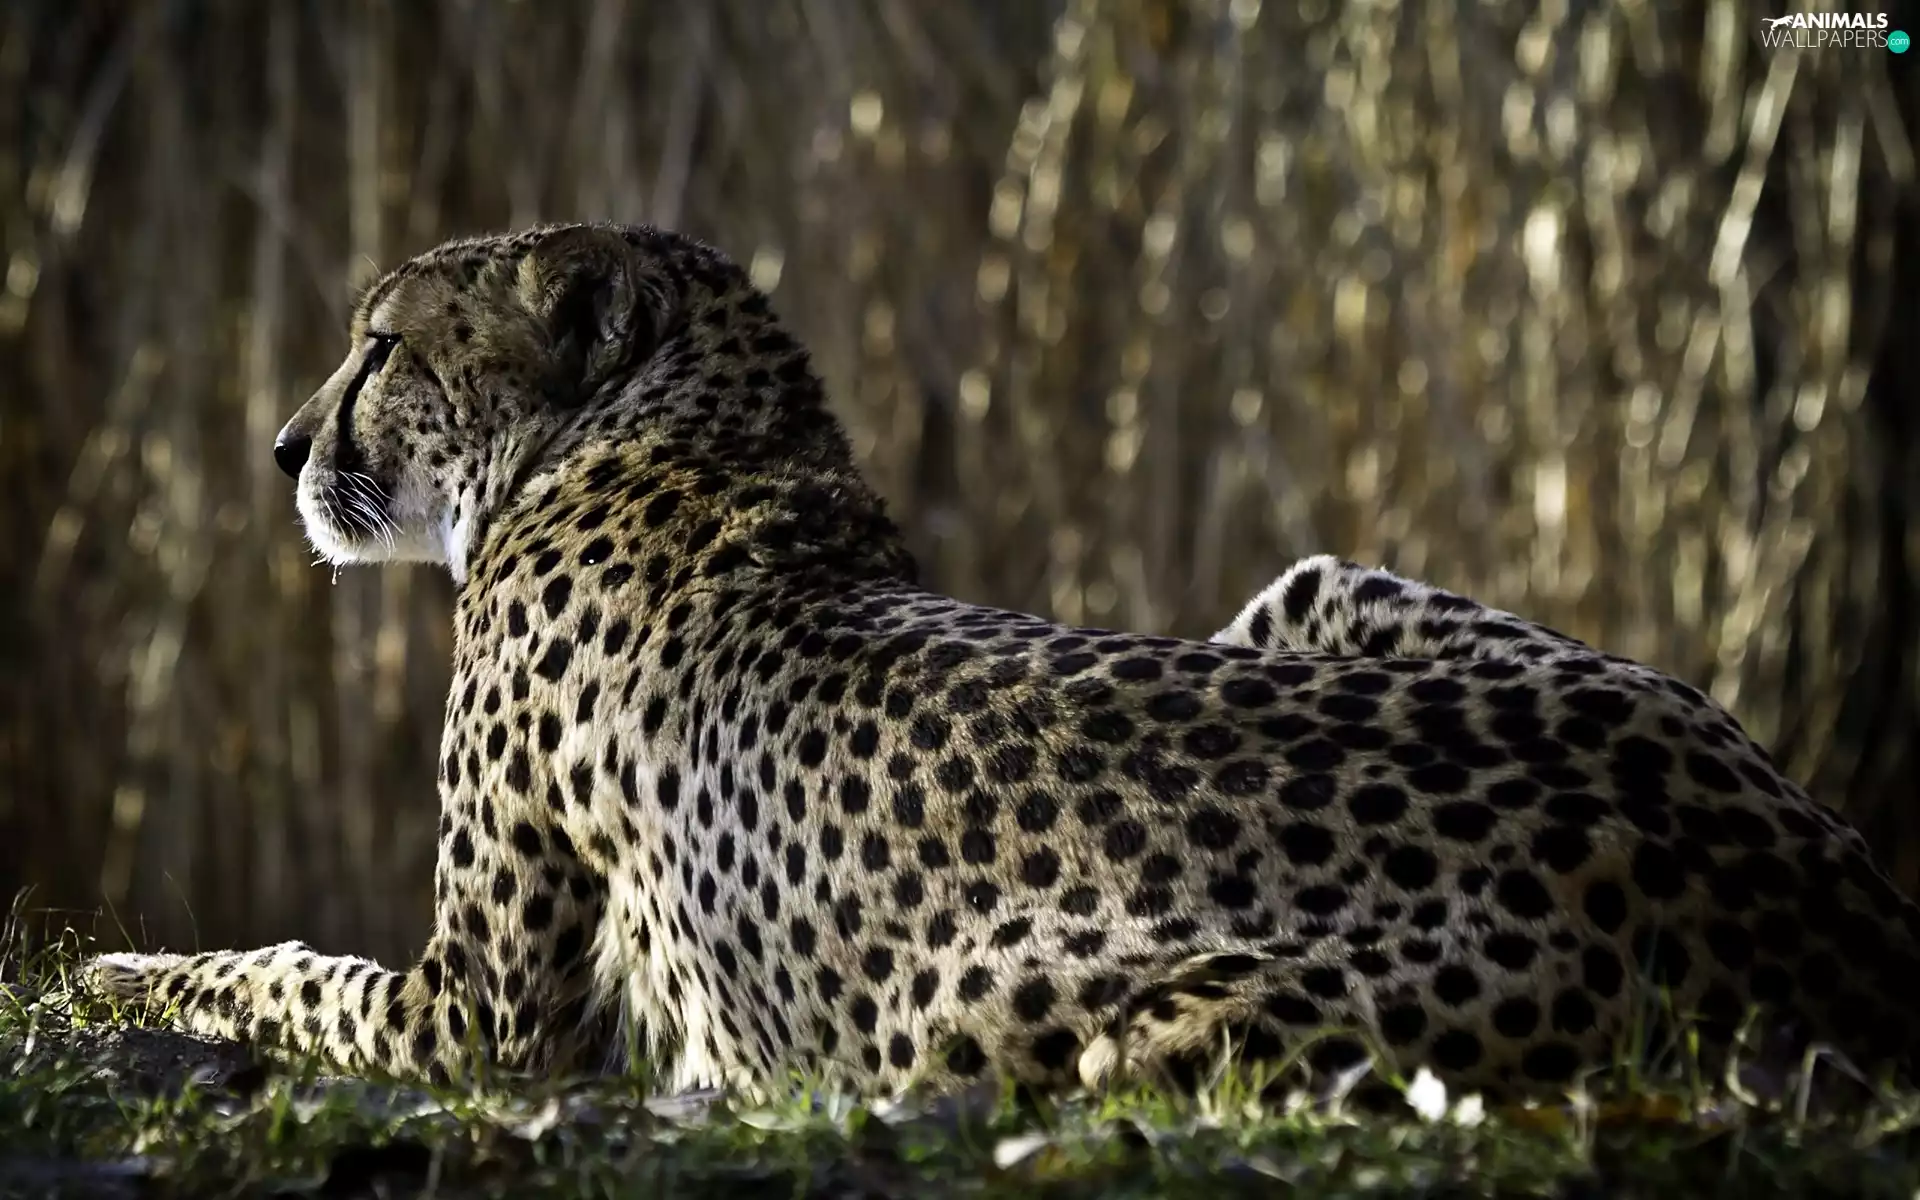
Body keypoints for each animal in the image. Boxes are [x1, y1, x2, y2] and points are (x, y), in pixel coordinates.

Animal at [79, 221, 1920, 1106]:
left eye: (382, 346)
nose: (281, 446)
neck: (668, 430)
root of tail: (1815, 883)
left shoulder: (480, 1017)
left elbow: (280, 970)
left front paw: (109, 975)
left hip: (1060, 1022)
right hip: (1321, 586)